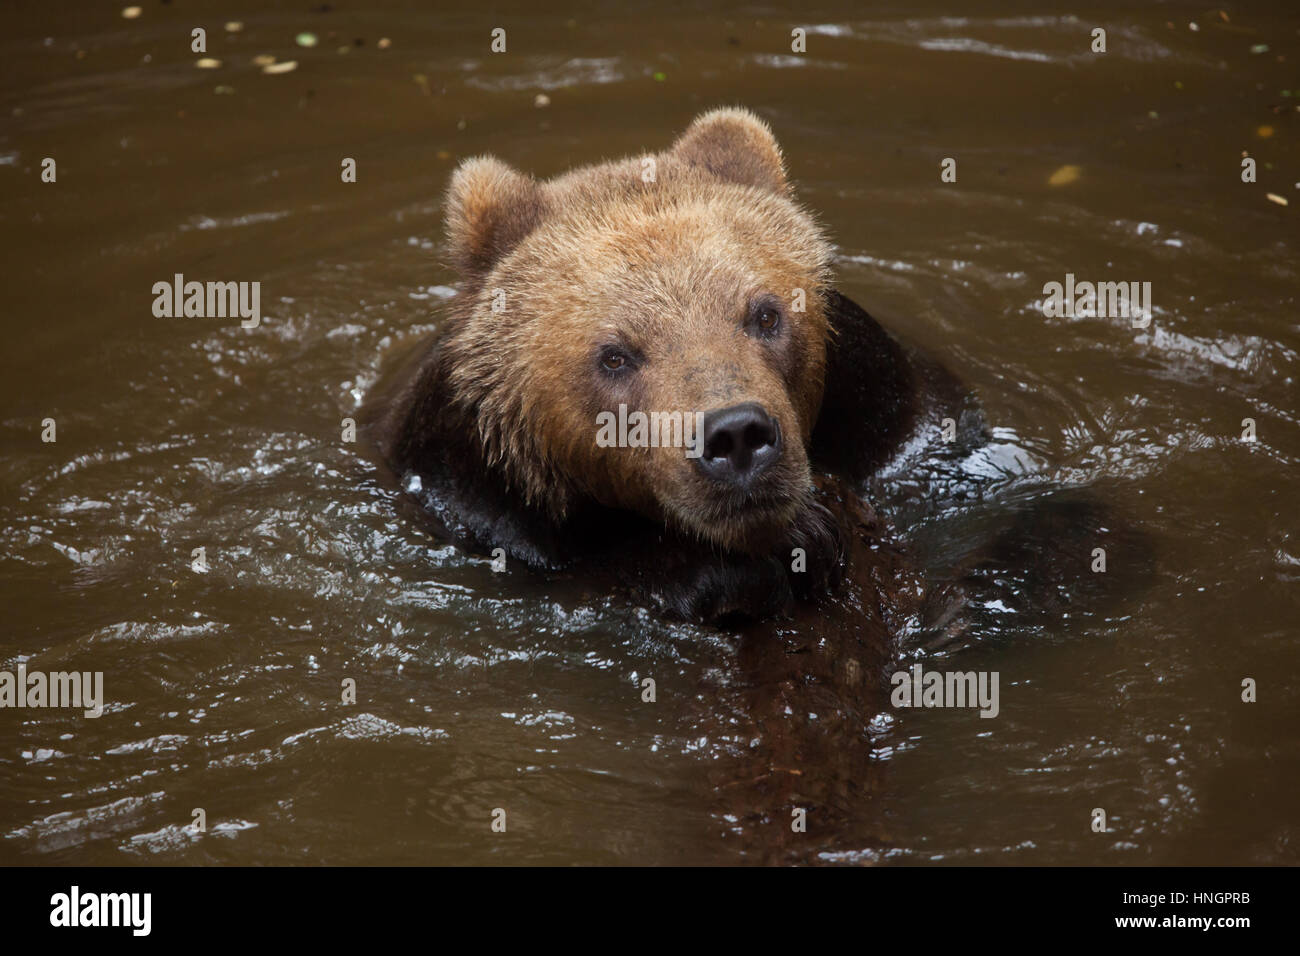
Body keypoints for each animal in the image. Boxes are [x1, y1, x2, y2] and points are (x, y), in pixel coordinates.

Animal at [366, 108, 982, 624]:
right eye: (615, 355)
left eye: (765, 315)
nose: (736, 435)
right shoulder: (469, 480)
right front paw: (761, 555)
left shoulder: (893, 410)